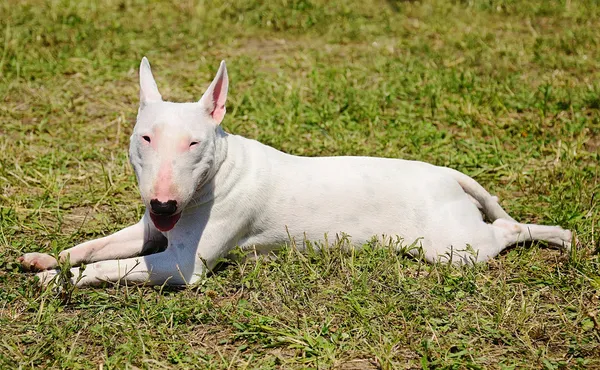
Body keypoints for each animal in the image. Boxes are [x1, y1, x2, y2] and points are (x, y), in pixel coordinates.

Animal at [17, 57, 572, 286]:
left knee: (507, 230)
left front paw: (57, 281)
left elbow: (109, 267)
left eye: (194, 142)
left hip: (455, 248)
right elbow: (95, 246)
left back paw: (560, 235)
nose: (163, 203)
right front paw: (46, 259)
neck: (217, 175)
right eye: (145, 138)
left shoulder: (179, 266)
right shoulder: (150, 233)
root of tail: (447, 173)